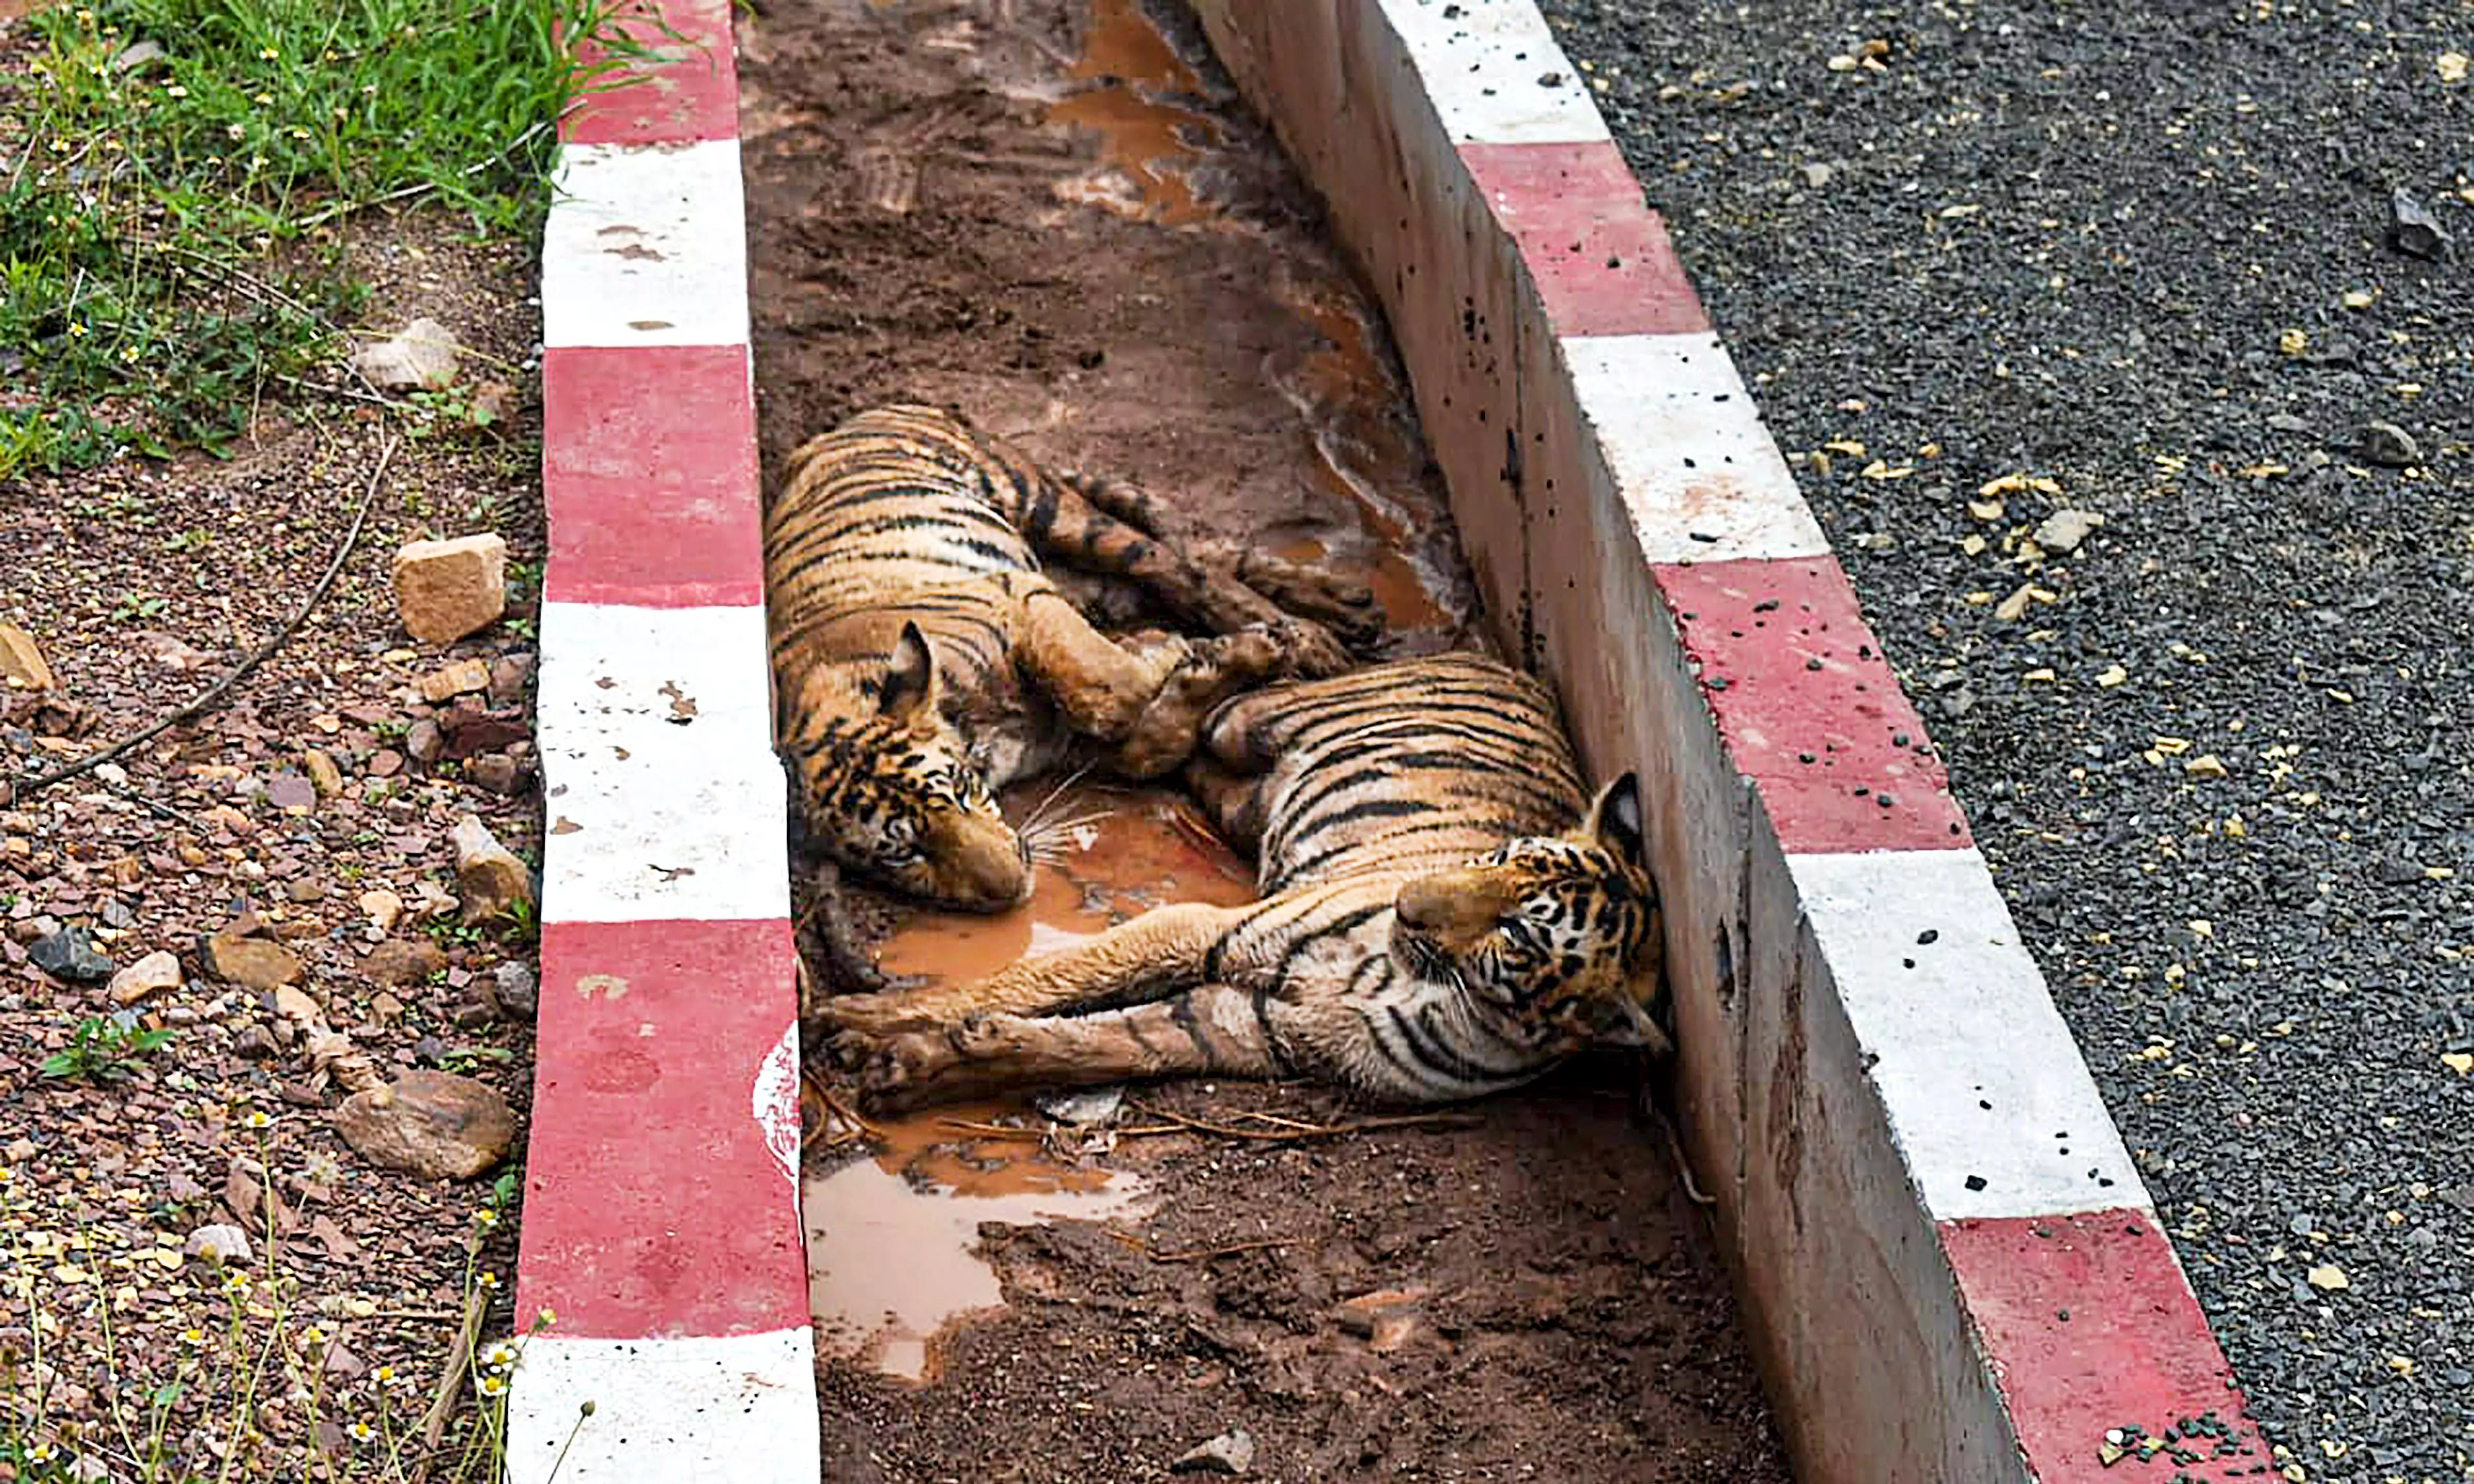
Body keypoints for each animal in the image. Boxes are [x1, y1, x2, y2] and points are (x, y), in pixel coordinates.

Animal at [768, 403, 1378, 919]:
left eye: (961, 790)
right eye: (903, 853)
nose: (1014, 886)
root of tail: (873, 411)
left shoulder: (1017, 594)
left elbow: (1109, 690)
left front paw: (1187, 651)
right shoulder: (1068, 737)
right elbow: (1147, 741)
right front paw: (1198, 660)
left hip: (1046, 508)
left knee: (1172, 563)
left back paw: (1314, 632)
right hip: (1090, 574)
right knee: (1195, 555)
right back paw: (1334, 612)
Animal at [818, 650, 1669, 1109]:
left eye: (1517, 932)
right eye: (1495, 859)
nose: (1407, 904)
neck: (1408, 982)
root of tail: (1497, 659)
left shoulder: (1246, 1027)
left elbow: (1096, 1043)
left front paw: (923, 1062)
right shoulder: (1204, 925)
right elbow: (1037, 977)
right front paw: (863, 1017)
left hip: (1248, 799)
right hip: (1257, 723)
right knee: (1172, 733)